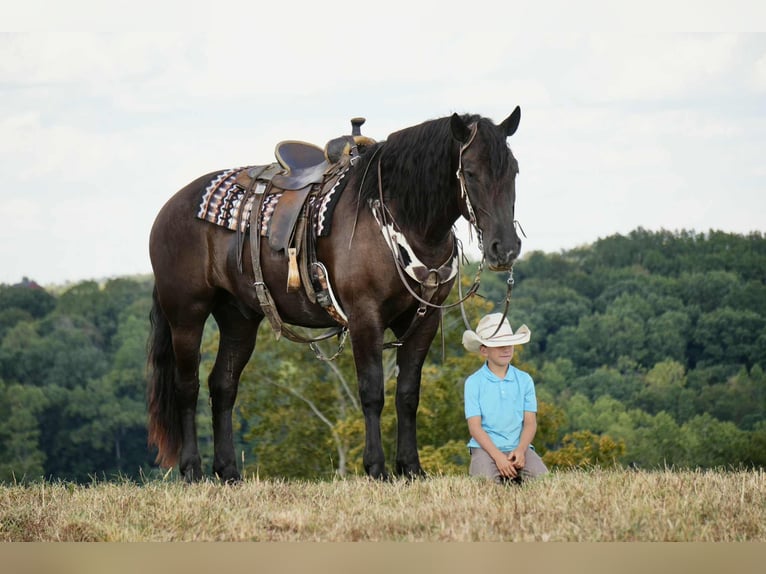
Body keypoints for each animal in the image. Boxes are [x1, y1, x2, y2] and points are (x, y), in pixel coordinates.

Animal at [147, 107, 523, 482]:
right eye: (470, 172)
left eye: (514, 171)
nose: (504, 248)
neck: (403, 219)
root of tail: (169, 208)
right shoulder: (365, 317)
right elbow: (372, 391)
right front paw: (376, 467)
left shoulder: (423, 320)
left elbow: (407, 394)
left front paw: (411, 467)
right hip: (186, 315)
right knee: (187, 386)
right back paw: (192, 469)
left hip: (239, 318)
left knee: (222, 386)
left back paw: (228, 472)